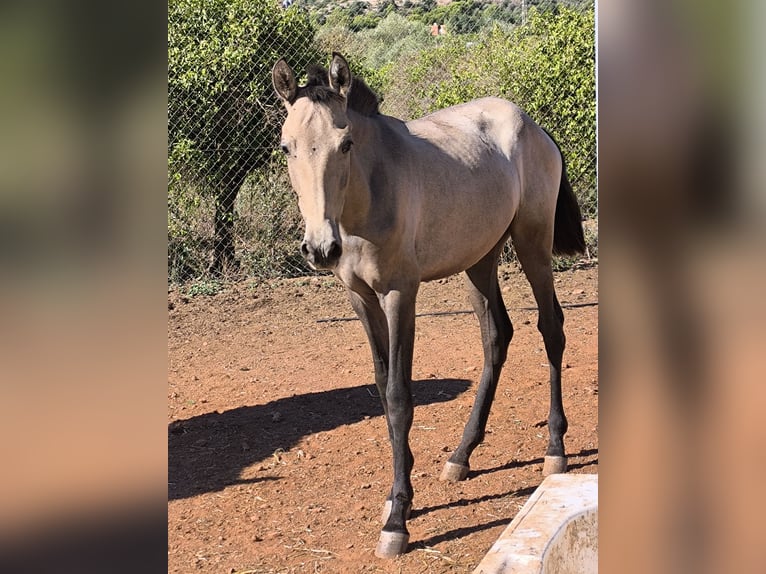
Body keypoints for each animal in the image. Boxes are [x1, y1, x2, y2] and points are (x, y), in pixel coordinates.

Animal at [272, 53, 585, 558]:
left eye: (345, 143)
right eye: (287, 147)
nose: (320, 249)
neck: (368, 195)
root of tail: (532, 126)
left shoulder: (401, 294)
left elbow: (400, 397)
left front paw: (397, 520)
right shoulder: (361, 299)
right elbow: (382, 391)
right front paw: (395, 497)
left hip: (532, 244)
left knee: (551, 328)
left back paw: (555, 448)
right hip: (480, 259)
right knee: (497, 335)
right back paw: (461, 455)